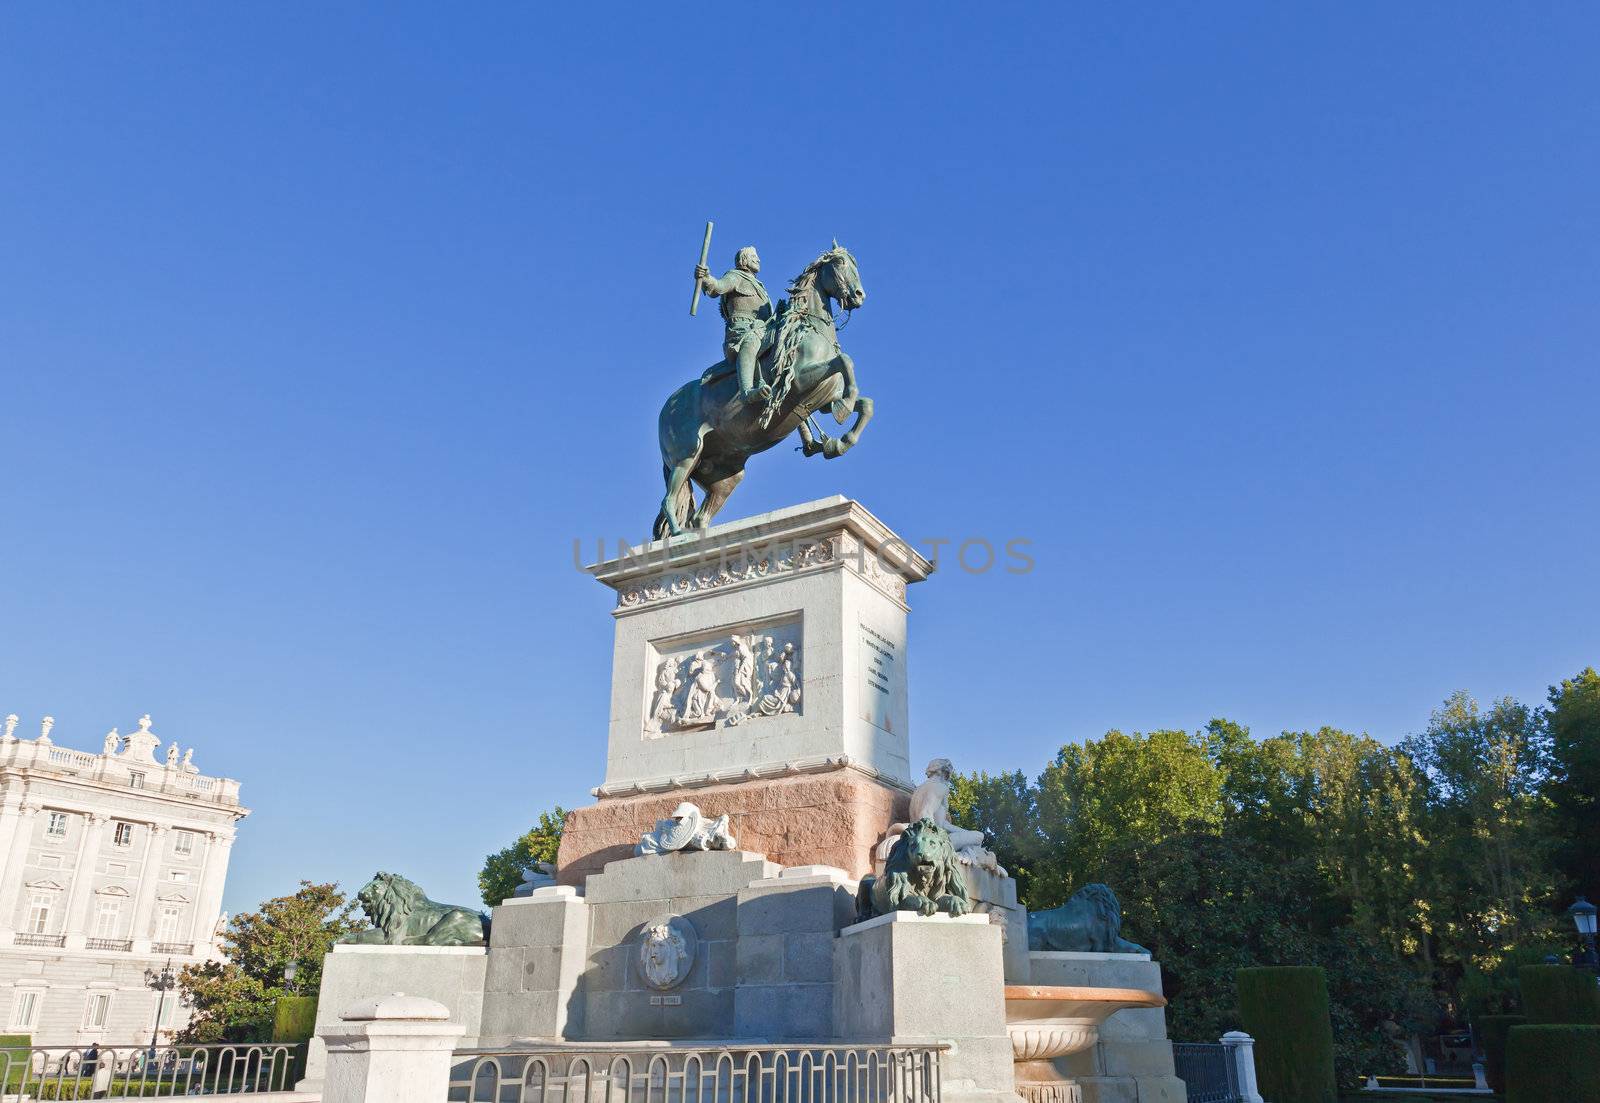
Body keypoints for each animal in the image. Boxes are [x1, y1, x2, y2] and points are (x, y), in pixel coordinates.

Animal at [652, 244, 876, 537]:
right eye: (839, 263)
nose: (859, 295)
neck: (809, 329)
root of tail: (666, 409)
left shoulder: (822, 399)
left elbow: (865, 403)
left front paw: (840, 440)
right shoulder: (799, 383)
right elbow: (845, 361)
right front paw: (844, 411)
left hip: (725, 475)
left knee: (700, 516)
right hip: (686, 456)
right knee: (669, 499)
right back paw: (679, 535)